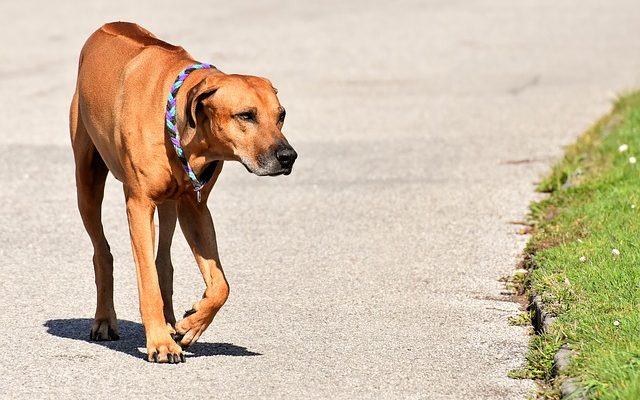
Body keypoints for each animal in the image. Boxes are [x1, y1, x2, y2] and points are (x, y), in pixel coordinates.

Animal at [70, 21, 298, 362]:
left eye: (281, 115)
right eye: (246, 115)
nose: (288, 157)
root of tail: (106, 26)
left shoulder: (195, 207)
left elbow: (221, 285)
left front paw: (192, 323)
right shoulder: (139, 205)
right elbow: (147, 284)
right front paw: (160, 343)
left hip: (170, 205)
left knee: (162, 261)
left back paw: (170, 320)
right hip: (87, 183)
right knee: (103, 253)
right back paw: (106, 320)